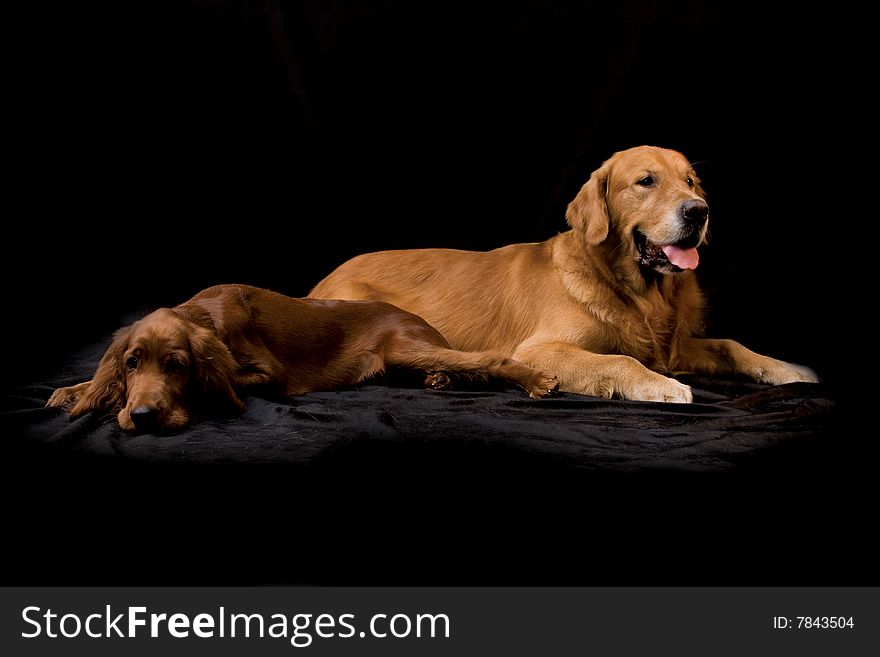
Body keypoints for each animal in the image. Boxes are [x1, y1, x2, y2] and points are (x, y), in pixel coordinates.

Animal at [48, 284, 556, 430]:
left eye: (177, 365)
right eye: (132, 363)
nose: (143, 416)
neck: (203, 314)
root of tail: (419, 320)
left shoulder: (270, 374)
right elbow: (96, 379)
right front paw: (74, 391)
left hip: (403, 346)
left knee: (486, 360)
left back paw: (537, 381)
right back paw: (439, 382)